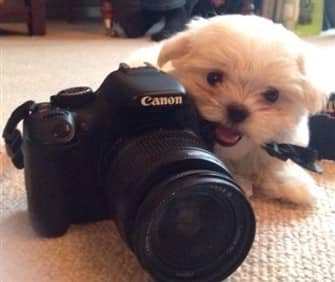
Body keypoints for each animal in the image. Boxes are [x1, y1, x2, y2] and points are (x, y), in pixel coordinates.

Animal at [128, 15, 328, 205]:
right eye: (213, 77)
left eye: (272, 95)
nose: (237, 111)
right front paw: (241, 182)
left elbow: (274, 163)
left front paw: (294, 184)